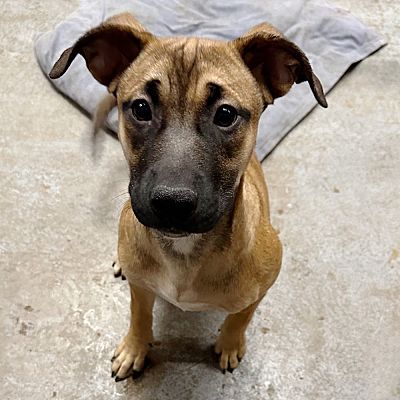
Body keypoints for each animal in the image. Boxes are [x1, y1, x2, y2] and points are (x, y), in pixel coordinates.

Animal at [50, 12, 326, 380]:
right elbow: (139, 314)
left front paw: (230, 344)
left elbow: (241, 317)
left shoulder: (262, 287)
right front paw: (135, 347)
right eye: (141, 108)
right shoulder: (141, 287)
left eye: (226, 114)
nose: (171, 203)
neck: (186, 253)